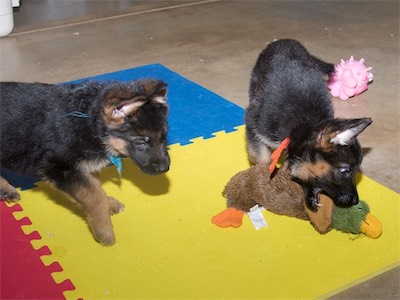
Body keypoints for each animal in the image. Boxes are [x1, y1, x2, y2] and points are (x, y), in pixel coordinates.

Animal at [0, 78, 170, 245]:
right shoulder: (61, 169)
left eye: (163, 137)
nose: (165, 168)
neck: (88, 121)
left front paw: (108, 205)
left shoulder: (84, 169)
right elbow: (95, 196)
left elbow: (96, 188)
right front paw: (104, 231)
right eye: (141, 142)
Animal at [245, 39, 374, 212]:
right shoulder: (254, 126)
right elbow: (261, 158)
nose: (355, 201)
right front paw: (262, 179)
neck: (303, 124)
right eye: (345, 170)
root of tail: (285, 41)